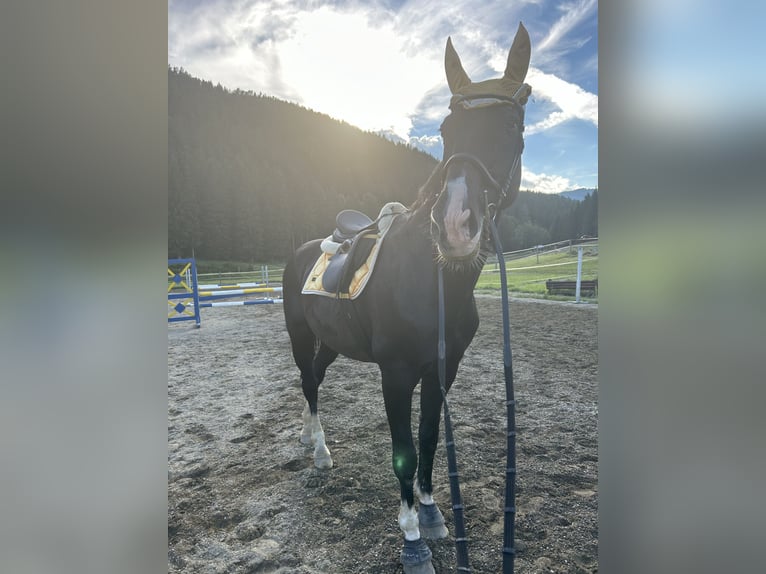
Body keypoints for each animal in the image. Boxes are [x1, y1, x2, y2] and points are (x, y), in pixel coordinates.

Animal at [284, 23, 536, 574]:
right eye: (444, 130)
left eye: (512, 124)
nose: (456, 225)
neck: (432, 279)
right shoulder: (396, 373)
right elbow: (403, 447)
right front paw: (412, 537)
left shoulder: (443, 368)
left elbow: (428, 438)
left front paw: (433, 511)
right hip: (298, 334)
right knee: (308, 383)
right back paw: (320, 453)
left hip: (331, 342)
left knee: (315, 378)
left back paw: (314, 443)